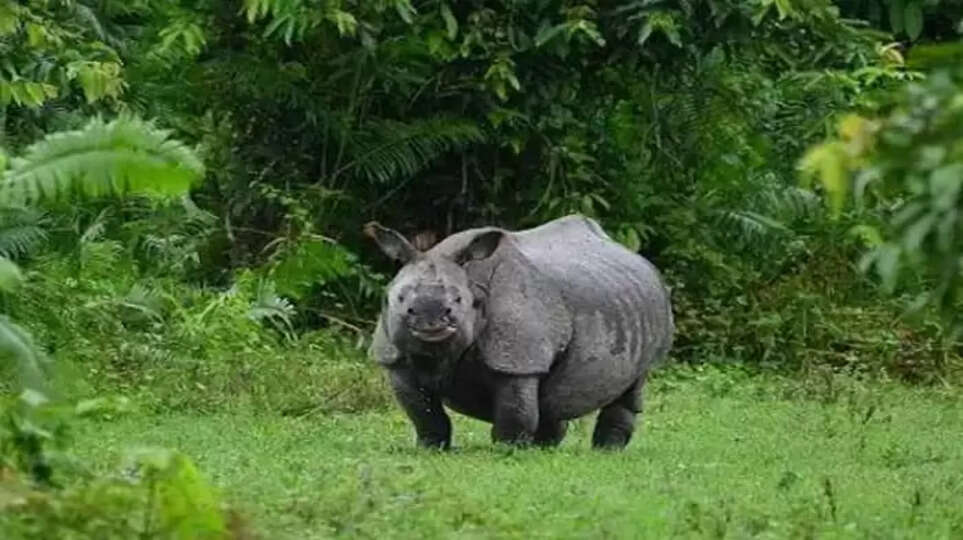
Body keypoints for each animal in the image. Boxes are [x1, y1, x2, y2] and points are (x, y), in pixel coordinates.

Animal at [365, 214, 674, 449]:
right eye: (398, 299)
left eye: (458, 301)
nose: (431, 321)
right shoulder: (395, 358)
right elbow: (423, 411)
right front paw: (430, 448)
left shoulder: (518, 358)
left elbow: (514, 407)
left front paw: (509, 451)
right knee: (553, 395)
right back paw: (547, 447)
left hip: (656, 305)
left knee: (633, 382)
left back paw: (606, 451)